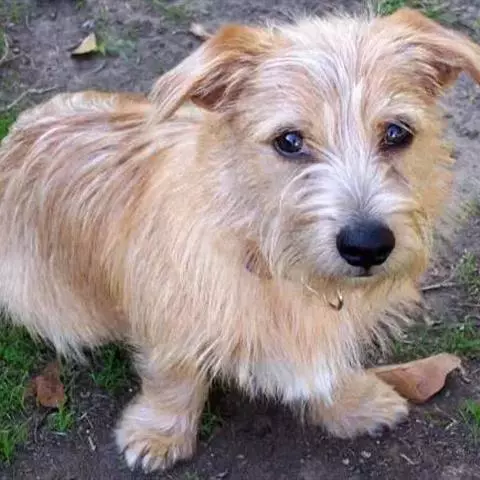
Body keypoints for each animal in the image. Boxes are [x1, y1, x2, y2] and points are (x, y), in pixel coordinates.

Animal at [0, 7, 477, 472]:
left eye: (397, 133)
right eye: (289, 141)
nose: (368, 245)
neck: (268, 253)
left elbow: (331, 365)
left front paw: (352, 403)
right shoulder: (169, 316)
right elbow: (172, 377)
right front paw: (160, 434)